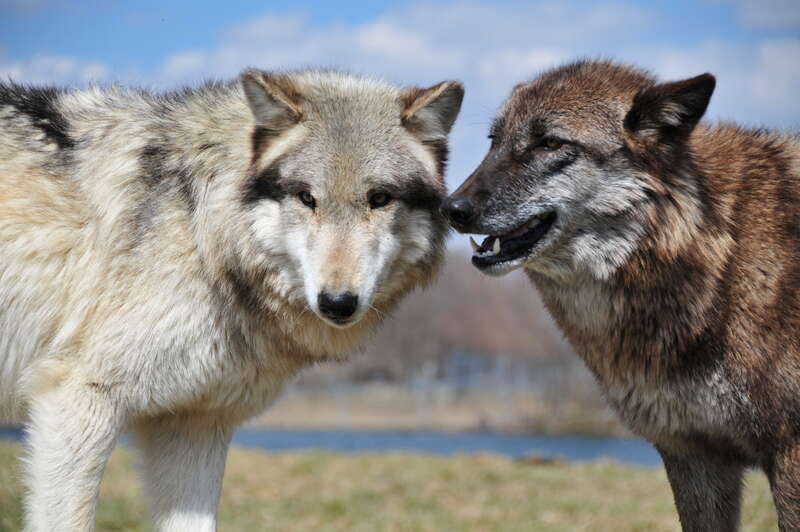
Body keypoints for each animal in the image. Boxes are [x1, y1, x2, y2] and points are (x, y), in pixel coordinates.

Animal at [0, 68, 463, 531]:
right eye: (307, 198)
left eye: (379, 198)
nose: (336, 302)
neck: (201, 230)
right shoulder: (77, 399)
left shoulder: (194, 424)